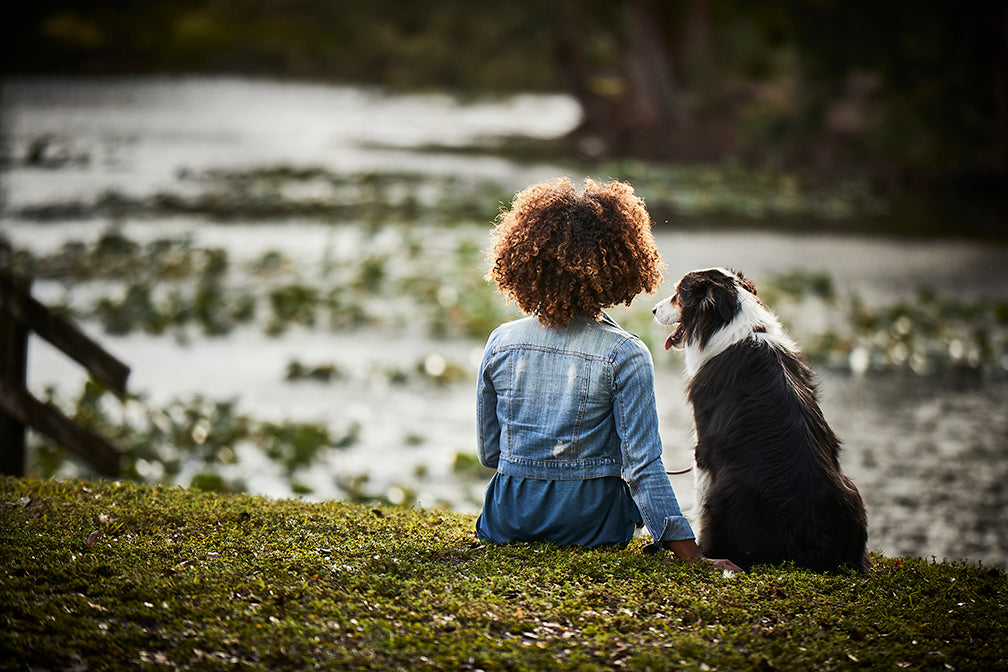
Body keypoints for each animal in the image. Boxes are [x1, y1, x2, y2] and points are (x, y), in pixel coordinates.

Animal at [653, 267, 866, 572]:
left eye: (679, 294)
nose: (653, 310)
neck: (734, 329)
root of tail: (814, 543)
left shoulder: (703, 448)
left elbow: (699, 498)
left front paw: (702, 550)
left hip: (726, 492)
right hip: (853, 493)